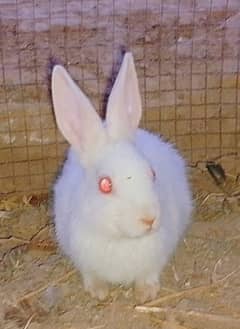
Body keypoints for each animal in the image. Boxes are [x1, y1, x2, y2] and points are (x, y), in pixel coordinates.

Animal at [51, 52, 192, 302]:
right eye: (105, 185)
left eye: (152, 173)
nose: (149, 219)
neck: (121, 240)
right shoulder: (82, 258)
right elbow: (90, 275)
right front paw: (98, 292)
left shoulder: (156, 259)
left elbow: (149, 274)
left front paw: (145, 293)